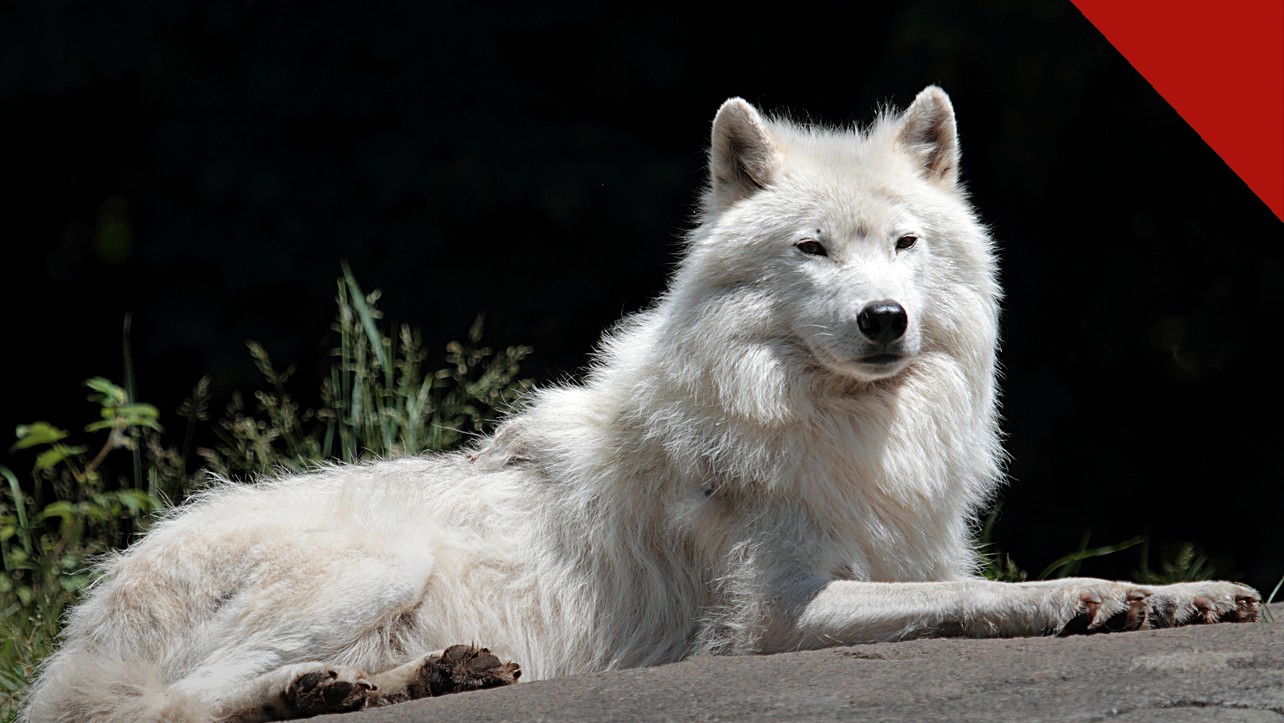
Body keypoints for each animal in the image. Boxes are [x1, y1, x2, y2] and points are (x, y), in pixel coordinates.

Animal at [24, 86, 1260, 722]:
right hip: (380, 560)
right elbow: (982, 597)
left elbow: (1005, 580)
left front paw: (1176, 596)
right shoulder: (765, 623)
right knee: (164, 709)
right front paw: (1082, 600)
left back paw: (414, 679)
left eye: (905, 245)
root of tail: (90, 616)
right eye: (813, 250)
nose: (884, 321)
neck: (844, 430)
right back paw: (311, 691)